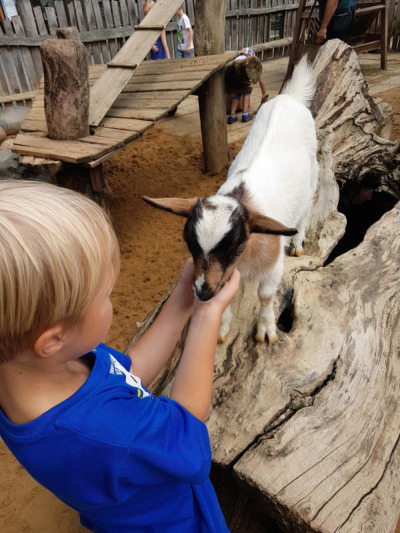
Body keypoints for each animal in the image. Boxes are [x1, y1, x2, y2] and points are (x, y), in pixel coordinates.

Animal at [144, 56, 318, 342]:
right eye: (189, 242)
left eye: (235, 245)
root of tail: (288, 98)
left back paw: (297, 242)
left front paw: (266, 329)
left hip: (313, 175)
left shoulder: (273, 265)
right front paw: (221, 328)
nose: (202, 292)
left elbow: (266, 295)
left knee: (305, 211)